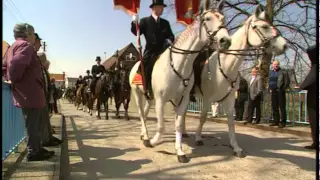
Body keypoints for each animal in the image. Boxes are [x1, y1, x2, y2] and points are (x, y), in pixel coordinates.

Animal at [129, 0, 231, 163]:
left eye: (223, 18)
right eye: (208, 19)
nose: (225, 41)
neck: (179, 63)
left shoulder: (182, 99)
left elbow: (178, 124)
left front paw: (180, 151)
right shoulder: (160, 99)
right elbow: (161, 126)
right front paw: (152, 141)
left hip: (149, 97)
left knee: (144, 113)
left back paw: (144, 135)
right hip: (137, 93)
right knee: (140, 113)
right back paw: (145, 136)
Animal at [181, 4, 288, 158]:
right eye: (264, 26)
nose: (285, 45)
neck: (224, 66)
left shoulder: (230, 98)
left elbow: (231, 122)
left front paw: (236, 147)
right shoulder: (207, 99)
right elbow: (203, 117)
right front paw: (198, 138)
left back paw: (183, 132)